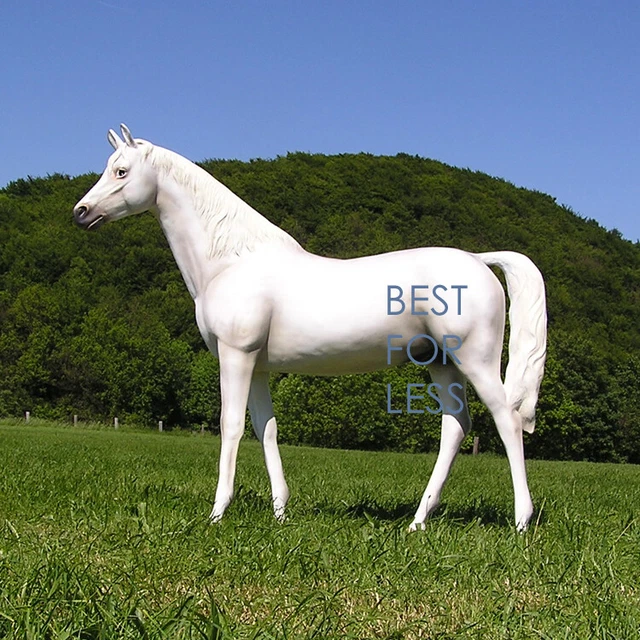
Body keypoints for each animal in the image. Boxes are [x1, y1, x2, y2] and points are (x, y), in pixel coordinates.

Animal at [74, 124, 547, 531]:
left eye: (121, 171)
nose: (81, 213)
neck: (232, 261)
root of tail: (480, 260)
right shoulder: (258, 366)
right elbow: (265, 428)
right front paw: (281, 511)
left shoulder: (235, 357)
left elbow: (231, 426)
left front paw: (217, 513)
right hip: (440, 362)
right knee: (455, 426)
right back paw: (418, 520)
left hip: (474, 359)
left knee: (506, 420)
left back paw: (521, 521)